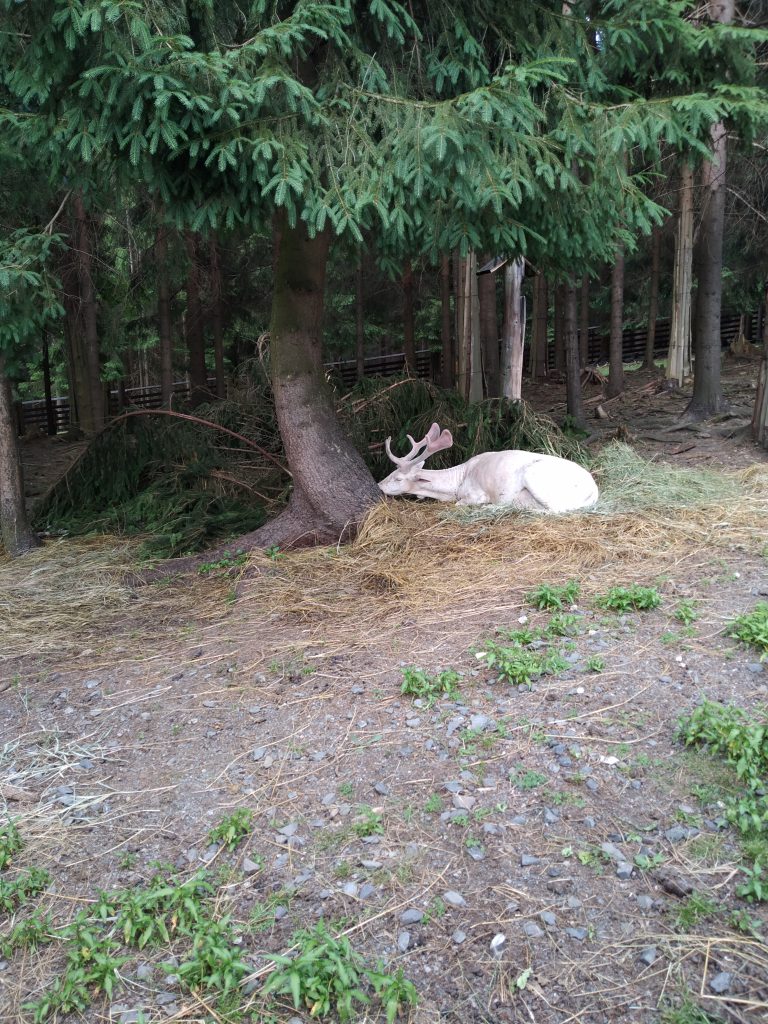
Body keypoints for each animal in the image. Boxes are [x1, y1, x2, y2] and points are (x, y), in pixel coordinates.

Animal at [380, 419, 602, 512]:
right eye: (391, 472)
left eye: (398, 478)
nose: (380, 485)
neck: (458, 482)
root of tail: (593, 490)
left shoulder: (476, 493)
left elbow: (461, 504)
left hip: (535, 477)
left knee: (555, 509)